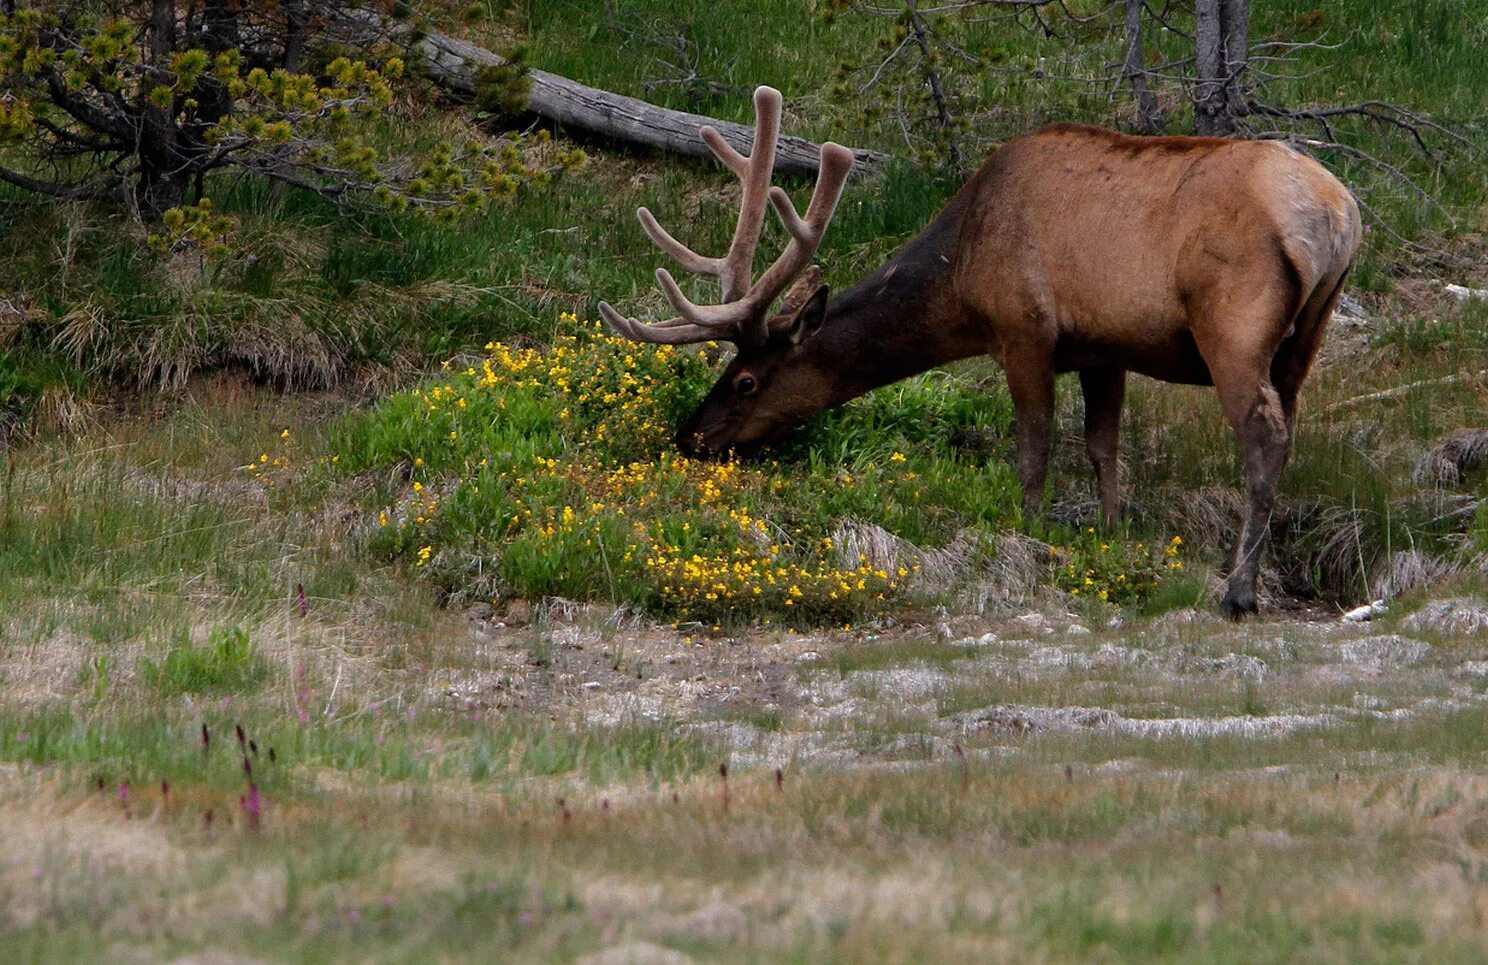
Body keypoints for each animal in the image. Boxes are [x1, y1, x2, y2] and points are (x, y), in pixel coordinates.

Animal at [601, 84, 1363, 618]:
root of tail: (1337, 215)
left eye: (746, 380)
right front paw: (1112, 538)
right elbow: (1103, 445)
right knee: (1288, 424)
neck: (962, 272)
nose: (691, 437)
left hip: (1234, 321)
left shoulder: (1025, 328)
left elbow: (1034, 449)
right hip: (1308, 333)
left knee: (1262, 432)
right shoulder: (1103, 346)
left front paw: (1030, 537)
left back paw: (1238, 591)